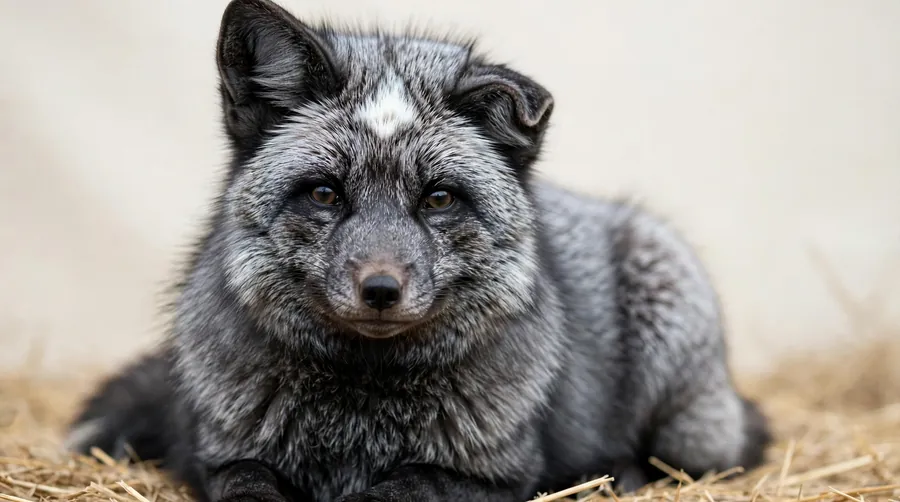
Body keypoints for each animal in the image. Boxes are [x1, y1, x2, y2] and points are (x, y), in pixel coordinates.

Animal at [65, 1, 772, 501]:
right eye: (324, 192)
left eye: (437, 199)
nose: (381, 290)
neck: (358, 418)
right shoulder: (219, 457)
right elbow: (249, 486)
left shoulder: (494, 475)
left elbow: (400, 488)